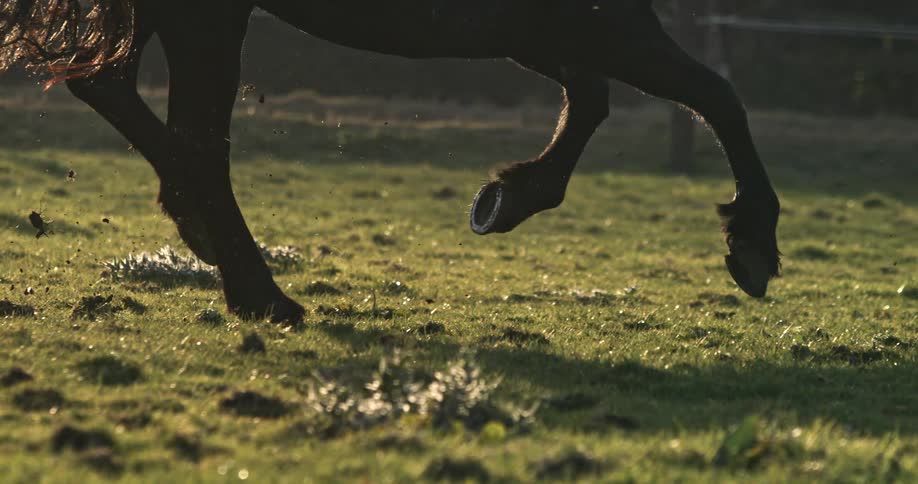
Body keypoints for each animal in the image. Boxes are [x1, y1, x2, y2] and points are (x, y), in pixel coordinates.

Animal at [1, 0, 781, 323]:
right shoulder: (586, 21)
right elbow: (717, 94)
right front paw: (752, 242)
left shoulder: (531, 28)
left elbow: (592, 98)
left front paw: (508, 197)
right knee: (180, 131)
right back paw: (260, 292)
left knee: (108, 85)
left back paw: (210, 241)